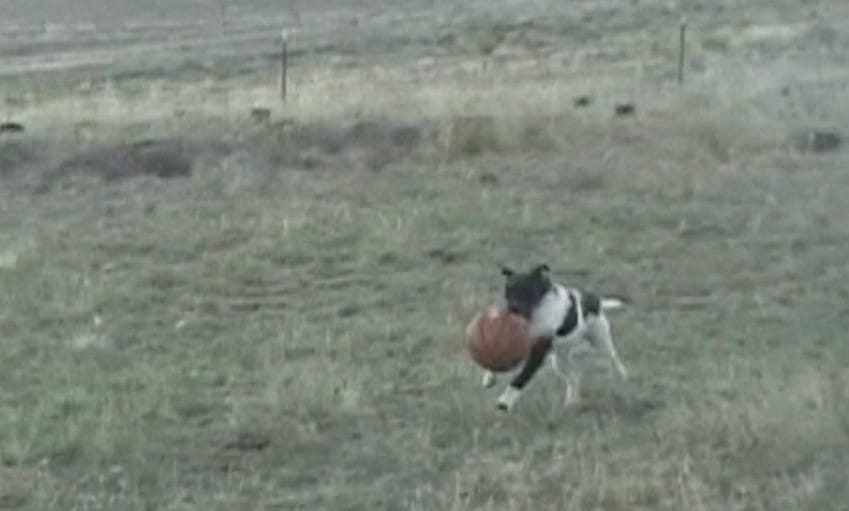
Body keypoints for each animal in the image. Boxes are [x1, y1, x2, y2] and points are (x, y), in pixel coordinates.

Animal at [480, 264, 628, 412]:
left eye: (527, 290)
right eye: (509, 291)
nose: (512, 309)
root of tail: (597, 301)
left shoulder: (537, 353)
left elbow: (521, 377)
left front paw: (504, 403)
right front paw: (489, 377)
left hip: (600, 341)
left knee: (613, 357)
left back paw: (623, 376)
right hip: (560, 361)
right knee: (574, 378)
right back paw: (571, 403)